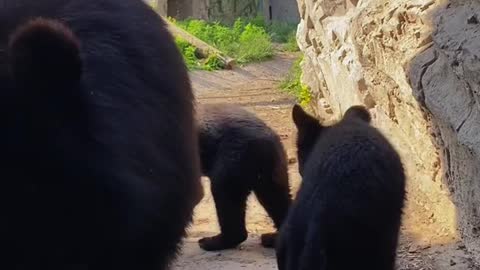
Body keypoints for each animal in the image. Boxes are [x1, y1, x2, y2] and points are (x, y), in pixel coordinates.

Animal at [196, 104, 292, 251]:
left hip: (234, 158)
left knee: (225, 194)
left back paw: (211, 242)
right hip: (272, 168)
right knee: (276, 197)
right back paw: (273, 238)